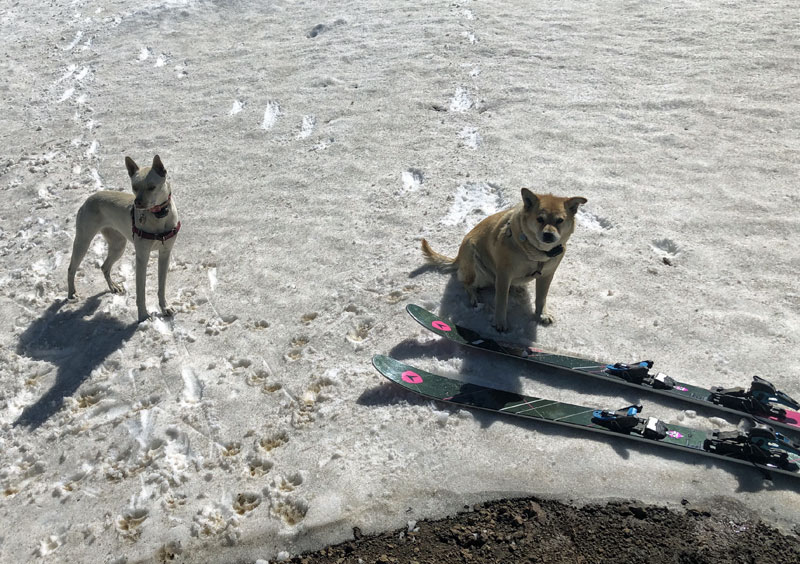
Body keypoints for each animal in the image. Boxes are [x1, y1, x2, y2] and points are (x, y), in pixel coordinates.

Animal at [422, 189, 584, 330]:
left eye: (560, 220)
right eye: (540, 219)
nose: (548, 235)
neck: (537, 253)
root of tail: (458, 258)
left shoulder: (547, 275)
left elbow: (541, 297)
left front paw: (542, 314)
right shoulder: (504, 275)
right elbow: (501, 301)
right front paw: (500, 322)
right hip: (474, 262)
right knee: (466, 283)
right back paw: (475, 296)